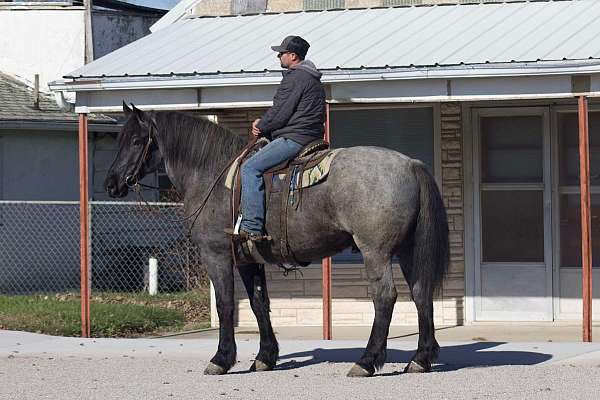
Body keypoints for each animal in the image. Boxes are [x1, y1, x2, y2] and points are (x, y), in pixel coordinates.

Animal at [105, 104, 448, 378]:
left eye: (136, 141)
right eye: (118, 140)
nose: (111, 184)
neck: (211, 175)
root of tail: (411, 165)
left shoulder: (216, 254)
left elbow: (225, 304)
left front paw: (221, 359)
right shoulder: (247, 259)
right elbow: (259, 304)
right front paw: (265, 357)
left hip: (375, 252)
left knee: (385, 298)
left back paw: (366, 362)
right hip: (407, 251)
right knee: (421, 294)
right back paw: (420, 359)